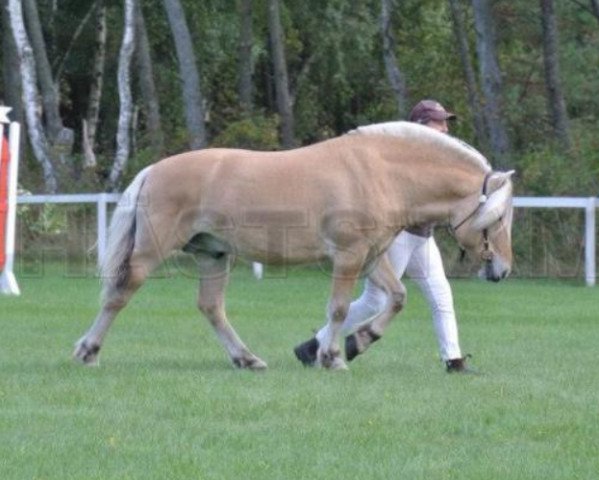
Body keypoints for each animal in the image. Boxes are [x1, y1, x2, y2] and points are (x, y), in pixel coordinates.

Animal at [74, 122, 516, 370]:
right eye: (496, 219)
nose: (503, 270)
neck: (380, 171)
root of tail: (153, 170)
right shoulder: (348, 257)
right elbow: (338, 308)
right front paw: (332, 357)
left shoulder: (371, 257)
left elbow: (397, 298)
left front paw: (357, 342)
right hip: (151, 254)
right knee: (119, 295)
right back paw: (88, 351)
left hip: (215, 255)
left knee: (211, 307)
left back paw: (246, 359)